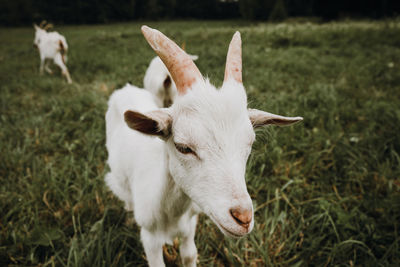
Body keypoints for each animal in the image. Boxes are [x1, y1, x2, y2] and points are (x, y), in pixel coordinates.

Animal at [104, 25, 302, 267]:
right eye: (183, 147)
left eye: (250, 143)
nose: (243, 218)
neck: (172, 214)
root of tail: (125, 89)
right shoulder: (149, 237)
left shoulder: (190, 224)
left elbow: (190, 254)